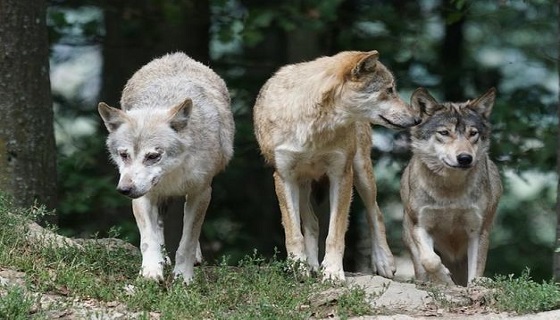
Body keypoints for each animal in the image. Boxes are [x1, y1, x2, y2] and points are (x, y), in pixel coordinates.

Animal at [98, 52, 234, 282]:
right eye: (124, 155)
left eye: (153, 156)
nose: (124, 189)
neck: (172, 174)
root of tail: (176, 55)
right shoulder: (143, 196)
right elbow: (148, 240)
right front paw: (151, 272)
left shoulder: (201, 192)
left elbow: (187, 241)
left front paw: (183, 277)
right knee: (159, 226)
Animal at [253, 50, 420, 280]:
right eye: (389, 90)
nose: (417, 119)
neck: (314, 126)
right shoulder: (284, 177)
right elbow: (294, 233)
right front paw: (298, 268)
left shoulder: (341, 175)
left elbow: (335, 233)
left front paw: (332, 271)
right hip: (302, 183)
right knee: (312, 222)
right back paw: (311, 266)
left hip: (362, 173)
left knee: (375, 212)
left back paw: (383, 262)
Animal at [400, 87, 500, 284]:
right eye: (444, 133)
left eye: (473, 133)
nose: (465, 158)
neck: (450, 191)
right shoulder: (421, 226)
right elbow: (430, 260)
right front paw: (444, 279)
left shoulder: (477, 230)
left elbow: (475, 271)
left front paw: (473, 284)